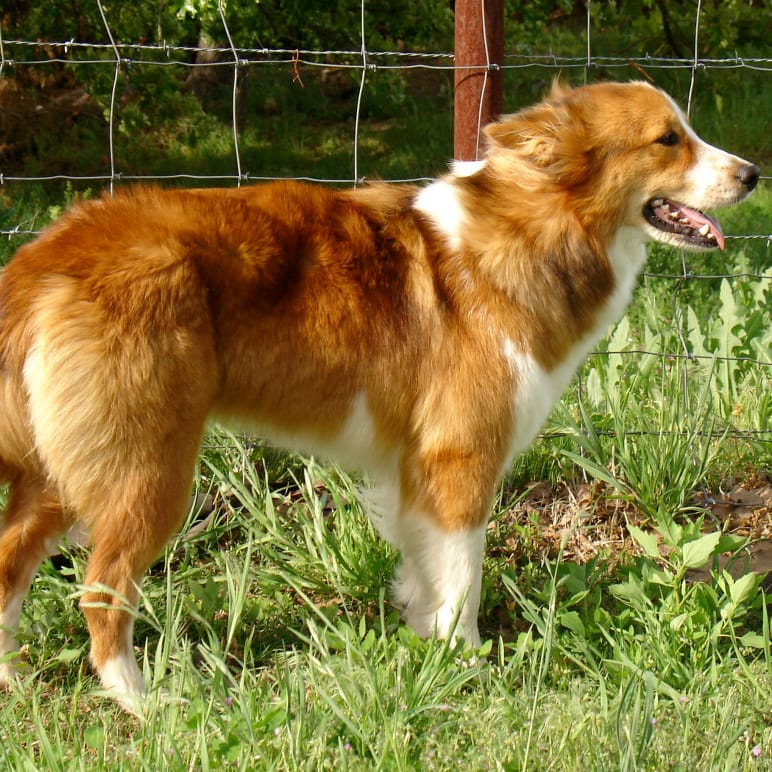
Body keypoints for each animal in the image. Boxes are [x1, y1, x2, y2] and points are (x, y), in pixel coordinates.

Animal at [0, 81, 760, 708]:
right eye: (668, 139)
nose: (754, 174)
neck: (535, 228)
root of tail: (49, 255)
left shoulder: (413, 470)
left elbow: (427, 572)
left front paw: (428, 646)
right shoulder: (461, 461)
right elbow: (464, 578)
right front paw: (468, 666)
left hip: (59, 472)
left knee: (9, 561)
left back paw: (12, 680)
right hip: (148, 471)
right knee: (100, 593)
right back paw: (144, 703)